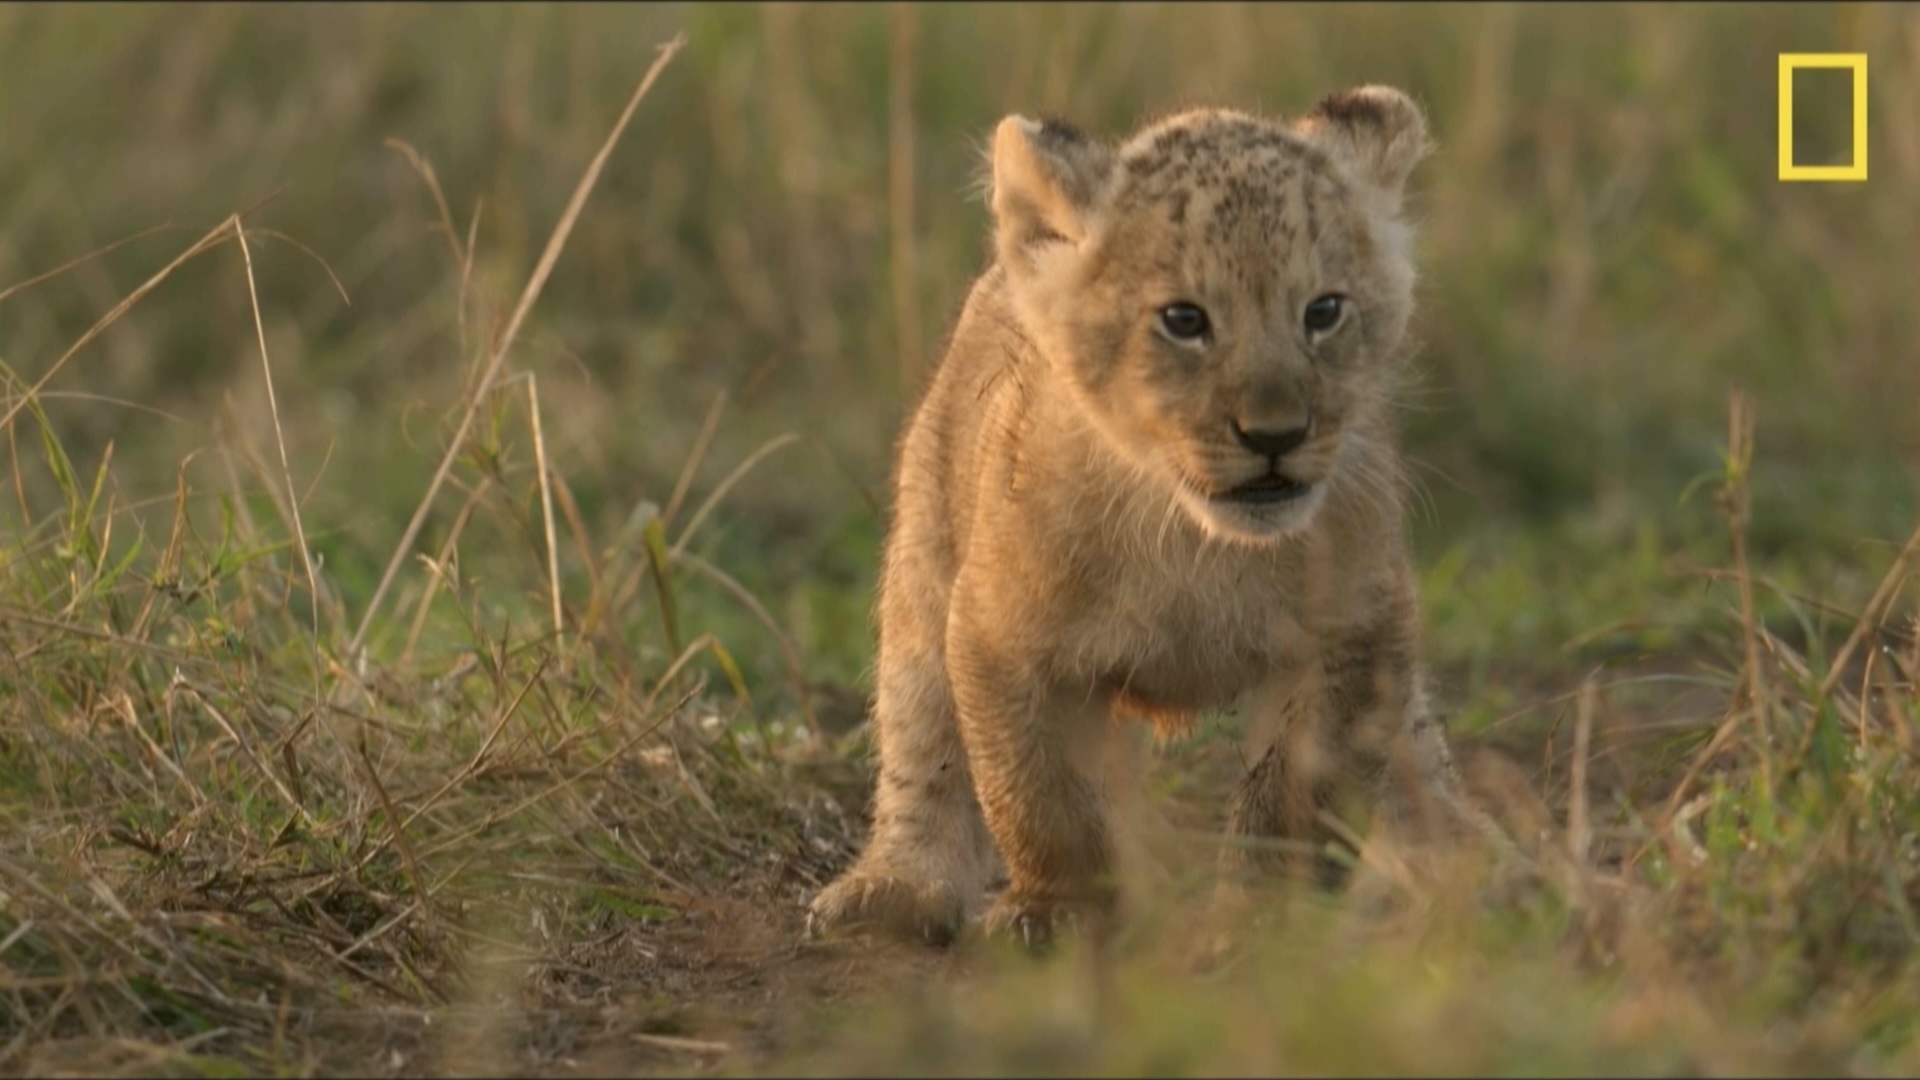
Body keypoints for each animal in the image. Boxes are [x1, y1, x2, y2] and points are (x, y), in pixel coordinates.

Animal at [807, 85, 1496, 949]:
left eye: (1324, 310)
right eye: (1184, 320)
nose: (1275, 436)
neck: (1195, 542)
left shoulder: (1348, 632)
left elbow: (1289, 792)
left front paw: (1260, 917)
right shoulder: (1001, 637)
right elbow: (1040, 793)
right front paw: (1058, 909)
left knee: (1410, 743)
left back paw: (1466, 872)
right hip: (924, 568)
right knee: (920, 738)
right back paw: (895, 888)